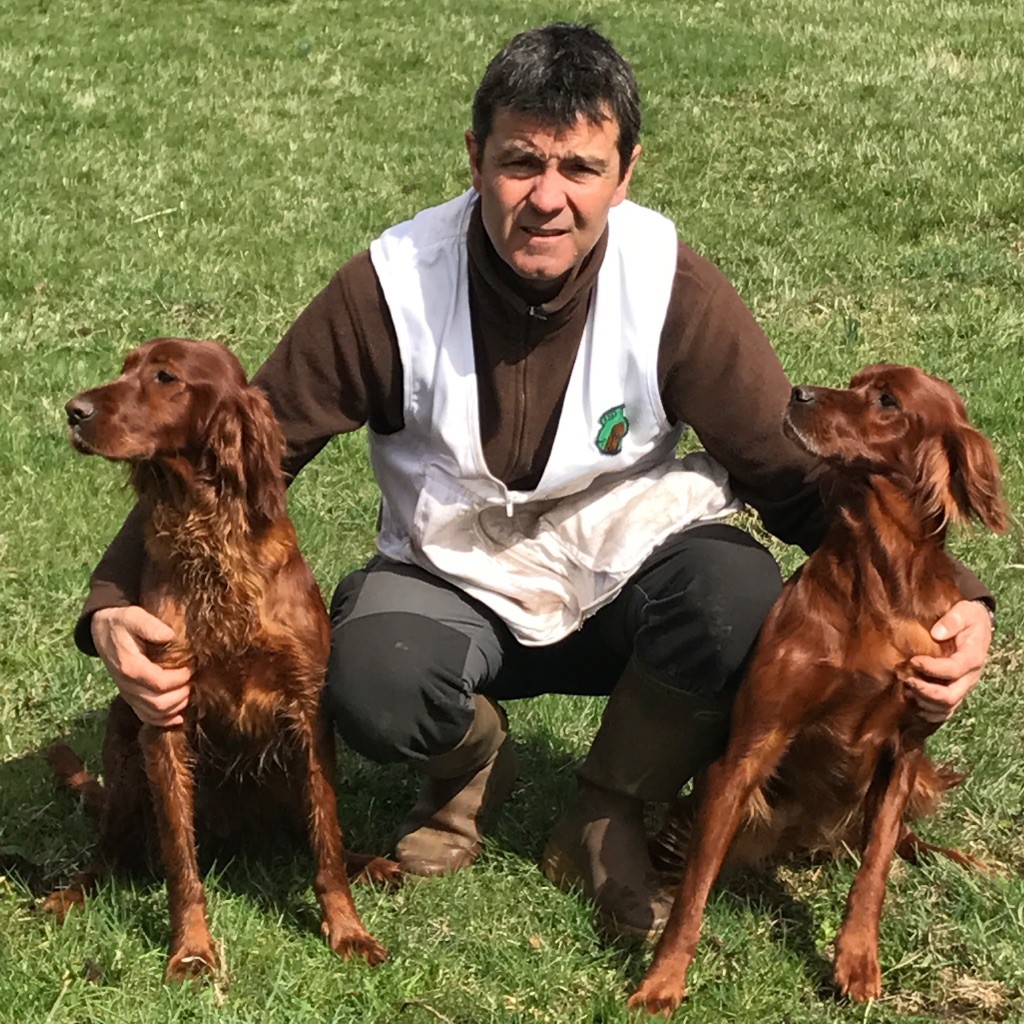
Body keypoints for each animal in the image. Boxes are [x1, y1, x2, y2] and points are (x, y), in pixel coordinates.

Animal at [49, 339, 397, 978]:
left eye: (165, 377)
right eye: (126, 366)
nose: (74, 411)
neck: (213, 539)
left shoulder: (308, 706)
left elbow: (327, 840)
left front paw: (347, 928)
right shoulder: (163, 712)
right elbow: (179, 861)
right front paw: (191, 949)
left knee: (311, 832)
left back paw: (372, 863)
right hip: (123, 728)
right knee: (109, 852)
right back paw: (71, 893)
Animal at [630, 364, 1007, 1011]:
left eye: (886, 400)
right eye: (855, 381)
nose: (796, 394)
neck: (879, 576)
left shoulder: (905, 750)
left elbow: (875, 869)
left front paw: (857, 960)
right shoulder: (750, 747)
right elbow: (694, 891)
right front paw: (663, 980)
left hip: (919, 778)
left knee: (904, 841)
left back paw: (970, 864)